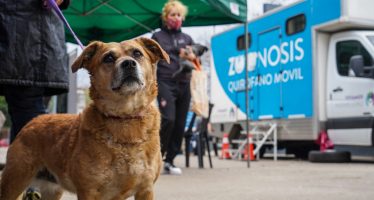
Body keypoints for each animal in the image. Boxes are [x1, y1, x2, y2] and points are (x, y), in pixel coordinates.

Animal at [0, 37, 169, 200]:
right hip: (13, 182)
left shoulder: (145, 190)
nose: (128, 63)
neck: (125, 118)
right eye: (108, 58)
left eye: (137, 53)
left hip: (52, 190)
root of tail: (33, 121)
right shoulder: (88, 191)